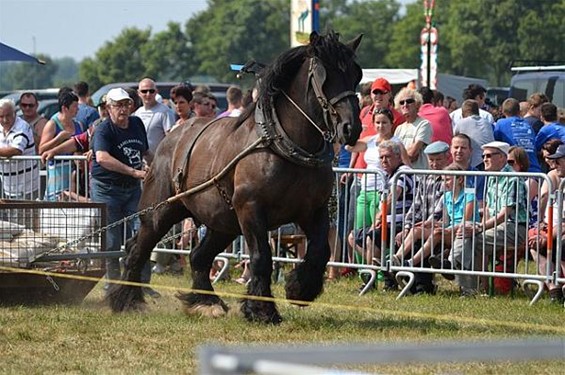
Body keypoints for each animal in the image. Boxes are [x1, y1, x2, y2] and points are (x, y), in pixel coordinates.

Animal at [108, 30, 364, 324]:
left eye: (356, 74)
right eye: (324, 76)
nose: (351, 128)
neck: (283, 144)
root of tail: (171, 138)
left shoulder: (315, 210)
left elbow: (320, 251)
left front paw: (300, 288)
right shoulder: (251, 209)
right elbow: (262, 257)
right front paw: (262, 309)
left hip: (222, 222)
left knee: (197, 256)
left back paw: (205, 301)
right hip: (161, 212)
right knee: (137, 248)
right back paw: (125, 299)